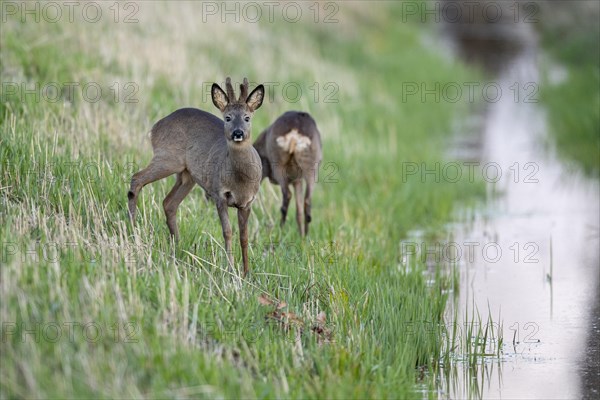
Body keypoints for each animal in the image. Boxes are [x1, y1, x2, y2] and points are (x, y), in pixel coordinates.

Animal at [127, 78, 264, 278]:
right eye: (228, 117)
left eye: (247, 117)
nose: (238, 133)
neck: (240, 180)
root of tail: (155, 128)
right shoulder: (219, 195)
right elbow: (228, 232)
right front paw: (230, 269)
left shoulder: (247, 203)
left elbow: (244, 237)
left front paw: (246, 273)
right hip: (168, 158)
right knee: (137, 179)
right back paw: (133, 229)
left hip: (186, 175)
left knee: (168, 202)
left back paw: (177, 247)